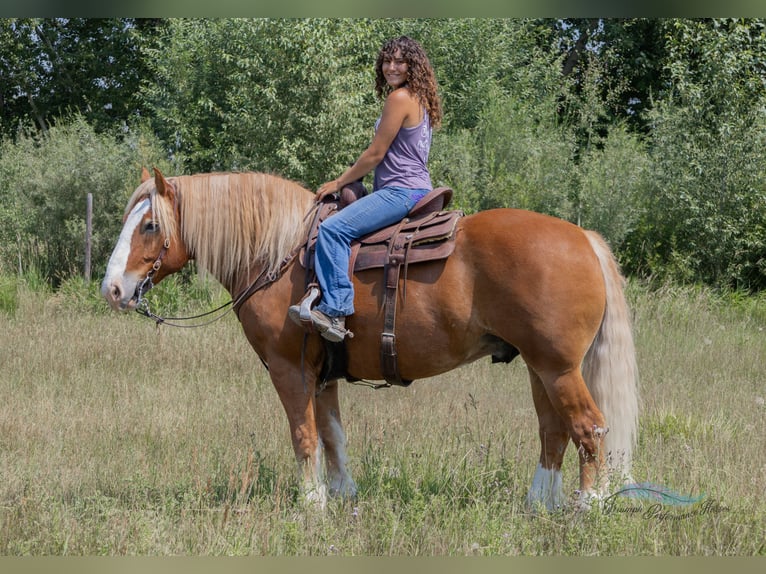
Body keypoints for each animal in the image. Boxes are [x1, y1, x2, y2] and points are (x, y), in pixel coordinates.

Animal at [102, 168, 639, 511]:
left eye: (150, 225)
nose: (112, 289)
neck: (277, 254)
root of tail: (583, 238)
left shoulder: (289, 369)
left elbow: (303, 435)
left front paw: (311, 503)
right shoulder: (321, 375)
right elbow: (332, 434)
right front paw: (343, 495)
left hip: (558, 368)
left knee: (589, 428)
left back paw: (589, 503)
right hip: (539, 366)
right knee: (554, 432)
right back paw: (538, 503)